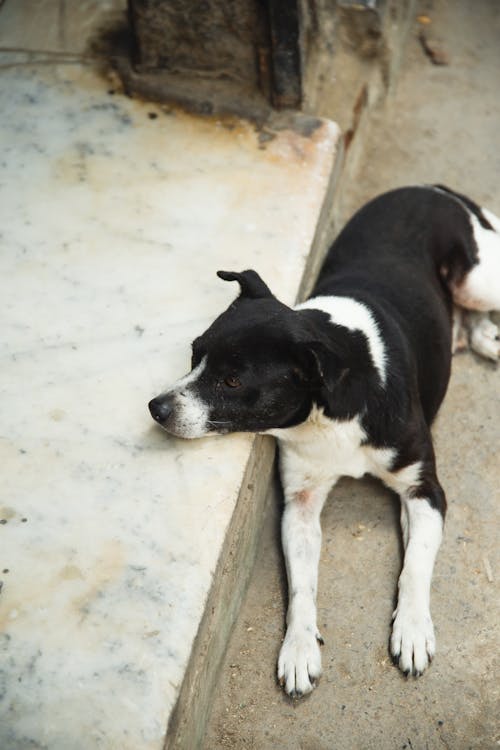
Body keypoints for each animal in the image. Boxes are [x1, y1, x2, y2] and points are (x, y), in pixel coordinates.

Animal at [148, 187, 500, 700]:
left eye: (232, 381)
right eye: (194, 355)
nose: (156, 408)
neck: (330, 411)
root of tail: (432, 188)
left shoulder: (424, 489)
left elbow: (415, 564)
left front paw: (413, 630)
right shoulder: (300, 503)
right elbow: (302, 588)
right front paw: (298, 649)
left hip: (477, 280)